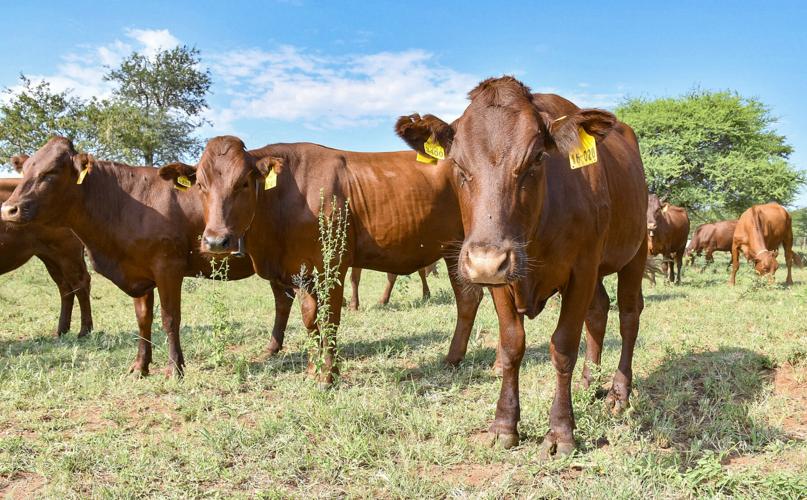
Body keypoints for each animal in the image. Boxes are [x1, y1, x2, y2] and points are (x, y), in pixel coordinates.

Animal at [1, 156, 92, 337]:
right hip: (50, 255)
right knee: (65, 287)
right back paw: (61, 331)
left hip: (68, 252)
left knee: (80, 283)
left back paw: (84, 331)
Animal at [158, 138, 486, 386]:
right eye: (200, 184)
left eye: (243, 183)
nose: (216, 241)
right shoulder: (300, 270)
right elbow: (309, 316)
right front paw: (313, 368)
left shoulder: (333, 264)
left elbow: (329, 317)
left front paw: (328, 375)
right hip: (452, 250)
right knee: (468, 298)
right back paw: (453, 359)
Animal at [395, 76, 648, 456]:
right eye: (458, 166)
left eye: (537, 159)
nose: (485, 262)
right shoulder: (504, 278)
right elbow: (512, 345)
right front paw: (504, 425)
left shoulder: (582, 268)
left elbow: (563, 346)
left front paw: (560, 432)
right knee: (599, 311)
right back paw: (589, 381)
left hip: (635, 250)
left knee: (629, 315)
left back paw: (619, 394)